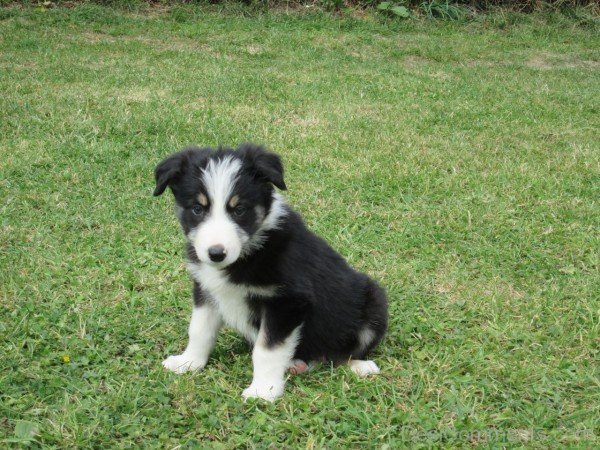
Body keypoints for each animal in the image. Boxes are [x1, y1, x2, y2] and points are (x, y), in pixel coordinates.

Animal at [154, 143, 390, 400]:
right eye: (197, 209)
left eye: (239, 210)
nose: (216, 253)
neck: (249, 252)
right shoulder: (206, 290)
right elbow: (199, 330)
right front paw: (188, 363)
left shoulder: (287, 302)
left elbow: (267, 350)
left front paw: (263, 391)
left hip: (374, 303)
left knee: (342, 353)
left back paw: (359, 366)